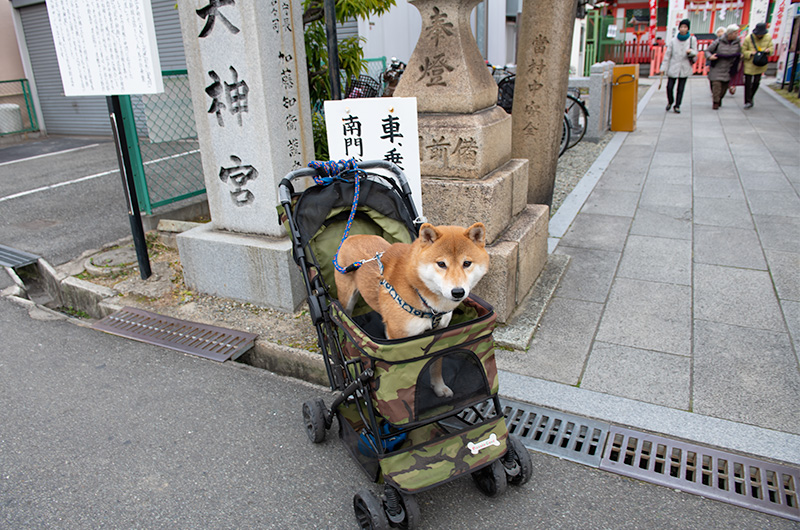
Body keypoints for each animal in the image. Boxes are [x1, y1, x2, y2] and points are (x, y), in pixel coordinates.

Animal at [332, 222, 488, 396]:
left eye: (467, 263)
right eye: (441, 264)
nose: (458, 292)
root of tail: (352, 236)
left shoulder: (440, 333)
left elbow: (436, 364)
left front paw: (438, 387)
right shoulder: (398, 341)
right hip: (347, 300)